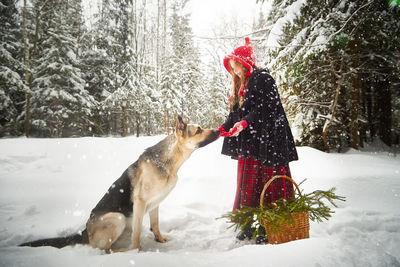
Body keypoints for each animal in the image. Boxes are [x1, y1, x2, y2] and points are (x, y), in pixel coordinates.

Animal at [20, 117, 220, 253]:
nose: (219, 130)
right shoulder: (140, 203)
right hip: (118, 218)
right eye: (199, 130)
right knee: (105, 249)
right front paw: (137, 251)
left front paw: (159, 239)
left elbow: (155, 224)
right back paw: (122, 252)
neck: (168, 161)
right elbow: (137, 233)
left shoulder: (155, 203)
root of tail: (84, 231)